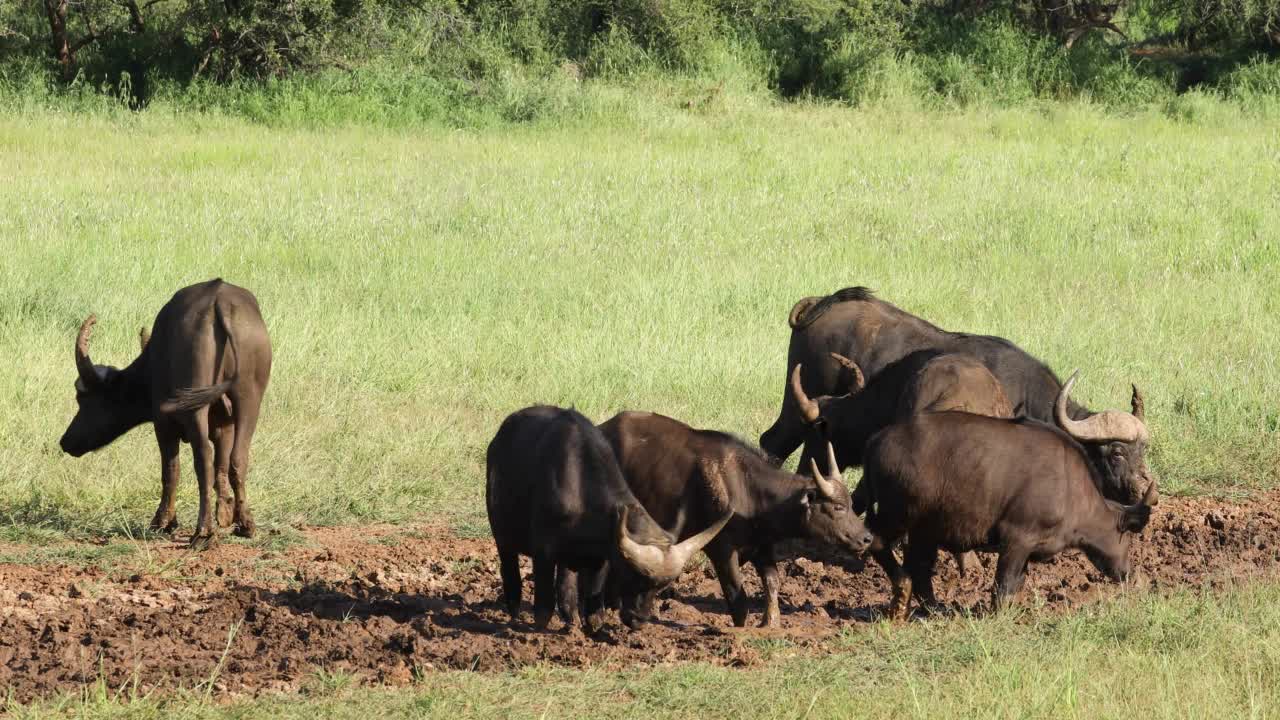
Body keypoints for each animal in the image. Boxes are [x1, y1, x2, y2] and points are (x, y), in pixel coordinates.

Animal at [58, 278, 273, 545]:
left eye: (83, 399)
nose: (65, 441)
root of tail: (219, 301)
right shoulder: (224, 425)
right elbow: (222, 464)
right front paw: (224, 512)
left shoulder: (162, 424)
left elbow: (170, 470)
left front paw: (163, 522)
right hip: (249, 399)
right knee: (238, 459)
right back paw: (246, 525)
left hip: (195, 407)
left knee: (202, 459)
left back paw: (203, 532)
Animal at [486, 404, 732, 627]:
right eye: (634, 577)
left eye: (659, 588)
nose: (639, 620)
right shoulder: (543, 552)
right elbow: (544, 608)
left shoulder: (602, 556)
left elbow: (594, 606)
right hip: (503, 538)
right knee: (510, 572)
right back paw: (515, 613)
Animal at [596, 412, 875, 625]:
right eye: (838, 507)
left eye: (851, 505)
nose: (866, 538)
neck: (747, 492)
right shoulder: (721, 550)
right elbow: (737, 600)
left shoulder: (763, 545)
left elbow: (772, 583)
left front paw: (769, 622)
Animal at [860, 368, 1162, 617]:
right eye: (1129, 537)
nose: (1133, 578)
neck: (1072, 488)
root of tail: (877, 441)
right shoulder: (1016, 540)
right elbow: (1003, 589)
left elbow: (1016, 585)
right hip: (897, 516)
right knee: (878, 544)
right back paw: (901, 595)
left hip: (924, 529)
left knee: (919, 568)